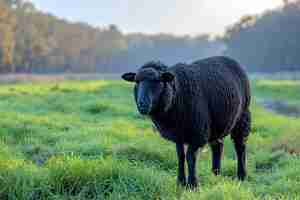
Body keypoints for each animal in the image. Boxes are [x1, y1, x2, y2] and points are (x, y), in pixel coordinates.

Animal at [121, 55, 251, 188]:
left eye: (157, 81)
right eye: (136, 82)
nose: (142, 104)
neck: (177, 94)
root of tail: (231, 60)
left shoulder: (198, 134)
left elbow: (190, 157)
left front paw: (193, 184)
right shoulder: (178, 134)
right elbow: (180, 157)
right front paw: (181, 182)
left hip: (243, 116)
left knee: (240, 146)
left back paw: (241, 176)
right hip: (217, 124)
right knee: (217, 146)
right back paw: (215, 174)